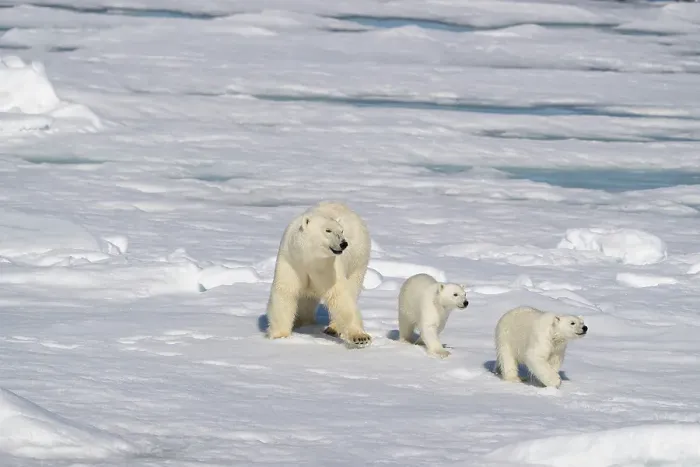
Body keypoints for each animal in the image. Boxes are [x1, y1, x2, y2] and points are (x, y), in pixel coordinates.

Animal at [265, 201, 372, 347]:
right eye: (328, 230)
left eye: (341, 230)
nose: (343, 243)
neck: (308, 258)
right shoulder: (291, 260)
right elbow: (285, 291)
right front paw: (279, 336)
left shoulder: (328, 266)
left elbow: (340, 295)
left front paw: (360, 337)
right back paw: (302, 322)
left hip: (358, 260)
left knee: (352, 287)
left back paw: (332, 328)